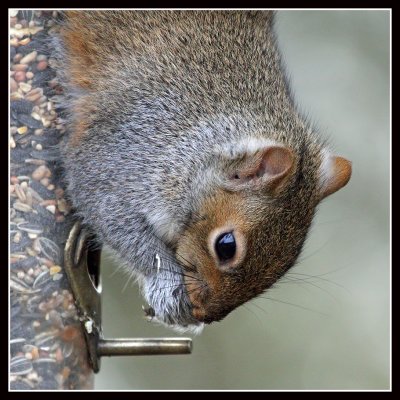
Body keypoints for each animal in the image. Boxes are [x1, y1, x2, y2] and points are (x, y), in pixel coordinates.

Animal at [55, 10, 350, 332]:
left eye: (289, 261)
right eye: (226, 246)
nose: (206, 315)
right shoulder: (125, 156)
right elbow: (111, 215)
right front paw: (168, 290)